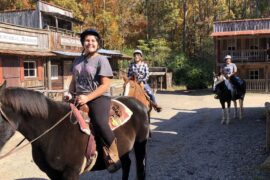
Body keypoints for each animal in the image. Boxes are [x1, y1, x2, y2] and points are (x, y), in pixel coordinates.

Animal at [0, 82, 150, 180]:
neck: (52, 130)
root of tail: (140, 105)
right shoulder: (52, 174)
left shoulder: (71, 173)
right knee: (127, 164)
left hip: (140, 145)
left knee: (140, 169)